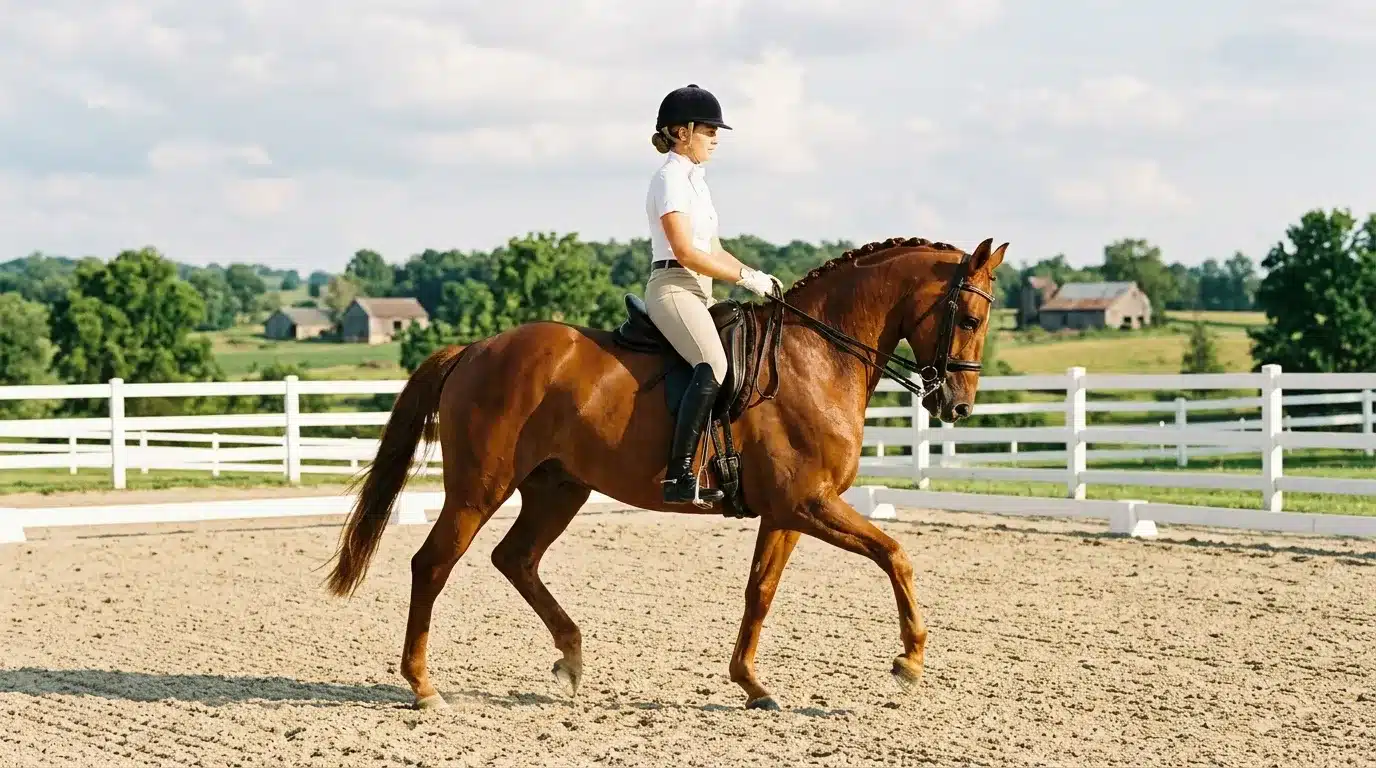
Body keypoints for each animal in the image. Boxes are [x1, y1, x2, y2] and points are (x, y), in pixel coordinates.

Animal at [323, 235, 1006, 711]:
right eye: (971, 320)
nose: (957, 406)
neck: (817, 357)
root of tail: (475, 349)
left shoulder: (788, 512)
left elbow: (760, 592)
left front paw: (752, 685)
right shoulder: (808, 504)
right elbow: (896, 554)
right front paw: (910, 661)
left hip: (559, 487)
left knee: (515, 559)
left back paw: (571, 658)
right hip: (479, 488)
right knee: (433, 564)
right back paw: (424, 686)